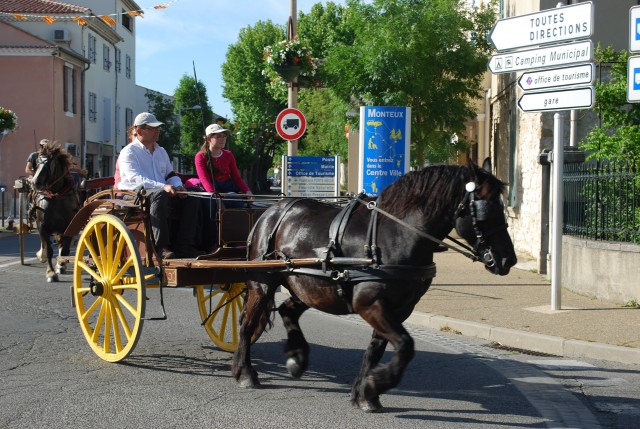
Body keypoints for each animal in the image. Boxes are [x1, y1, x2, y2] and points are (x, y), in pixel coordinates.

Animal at [31, 145, 80, 282]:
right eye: (37, 162)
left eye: (50, 164)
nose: (35, 182)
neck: (56, 197)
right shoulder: (42, 226)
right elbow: (48, 250)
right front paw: (51, 273)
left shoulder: (69, 226)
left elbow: (64, 249)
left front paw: (61, 265)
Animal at [232, 160, 516, 412]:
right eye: (486, 207)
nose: (508, 259)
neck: (396, 235)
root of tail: (272, 211)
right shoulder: (369, 304)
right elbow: (405, 345)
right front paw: (377, 383)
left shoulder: (399, 308)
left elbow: (375, 351)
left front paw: (365, 393)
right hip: (262, 283)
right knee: (247, 323)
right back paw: (244, 371)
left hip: (309, 287)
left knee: (287, 311)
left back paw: (296, 358)